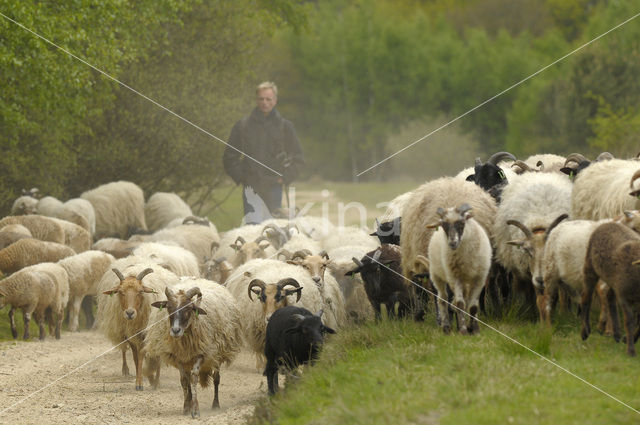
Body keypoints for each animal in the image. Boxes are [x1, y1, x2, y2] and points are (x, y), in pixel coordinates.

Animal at [143, 276, 242, 416]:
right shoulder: (178, 357)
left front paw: (195, 409)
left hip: (217, 354)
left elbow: (194, 378)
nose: (175, 330)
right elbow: (184, 380)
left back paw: (215, 404)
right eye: (169, 308)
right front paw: (186, 407)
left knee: (216, 378)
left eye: (188, 309)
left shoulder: (201, 354)